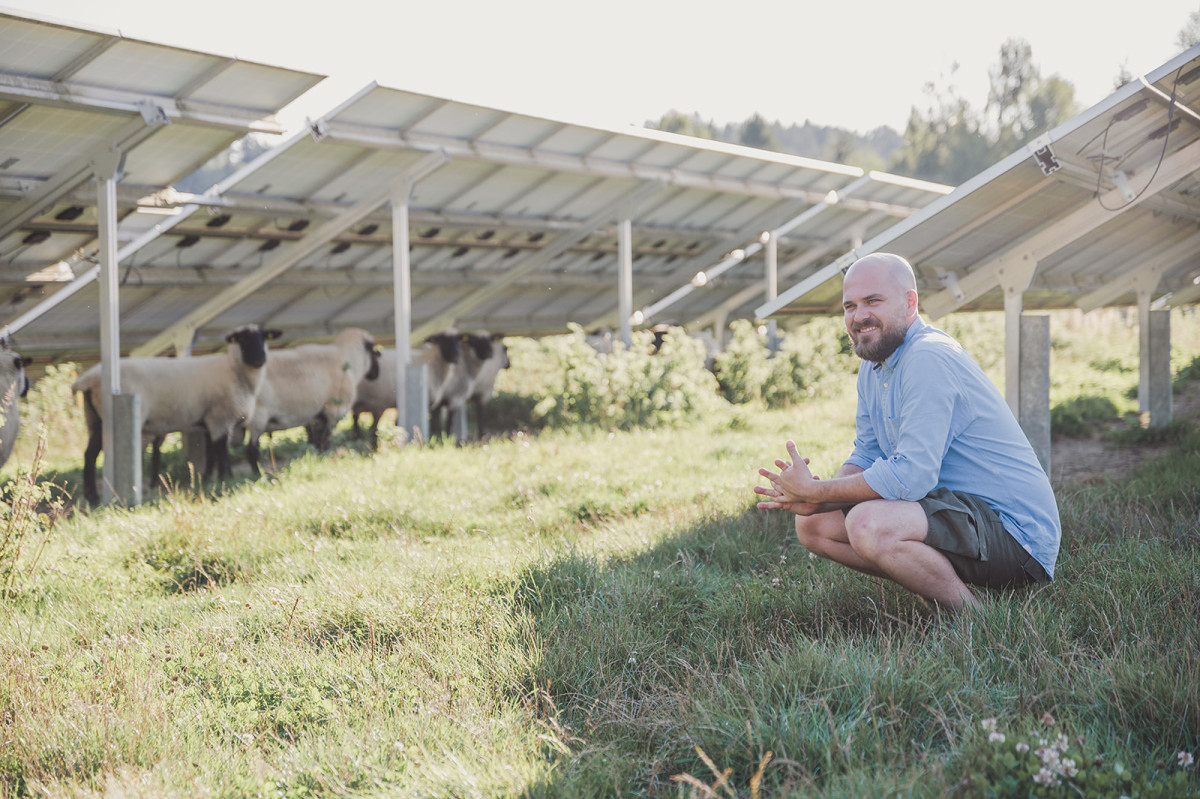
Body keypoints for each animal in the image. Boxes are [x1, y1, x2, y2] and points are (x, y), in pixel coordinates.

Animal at [73, 321, 280, 499]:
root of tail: (87, 379)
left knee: (88, 454)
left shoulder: (210, 420)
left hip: (92, 418)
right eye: (243, 339)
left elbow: (212, 453)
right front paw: (225, 479)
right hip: (106, 418)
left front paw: (208, 478)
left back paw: (91, 496)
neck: (234, 370)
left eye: (264, 337)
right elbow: (221, 452)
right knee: (92, 456)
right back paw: (94, 498)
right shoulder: (220, 417)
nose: (260, 359)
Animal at [241, 326, 376, 472]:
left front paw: (318, 457)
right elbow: (326, 438)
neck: (347, 358)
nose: (375, 374)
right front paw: (325, 456)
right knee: (251, 450)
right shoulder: (334, 410)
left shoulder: (316, 416)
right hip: (257, 416)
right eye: (375, 351)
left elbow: (316, 440)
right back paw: (257, 474)